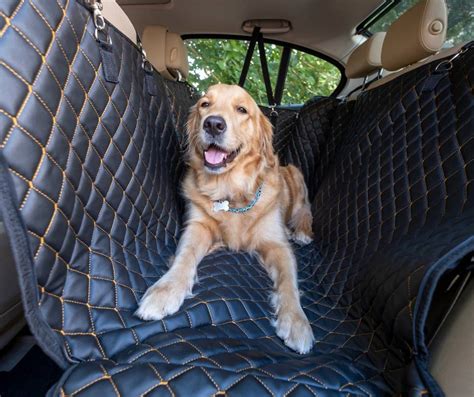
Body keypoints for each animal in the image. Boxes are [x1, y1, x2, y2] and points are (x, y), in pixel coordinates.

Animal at [136, 83, 314, 352]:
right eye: (205, 104)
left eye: (242, 110)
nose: (213, 124)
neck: (230, 192)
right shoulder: (197, 226)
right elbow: (184, 257)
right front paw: (165, 291)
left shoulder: (278, 245)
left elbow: (288, 282)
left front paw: (296, 322)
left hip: (296, 174)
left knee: (305, 211)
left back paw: (302, 232)